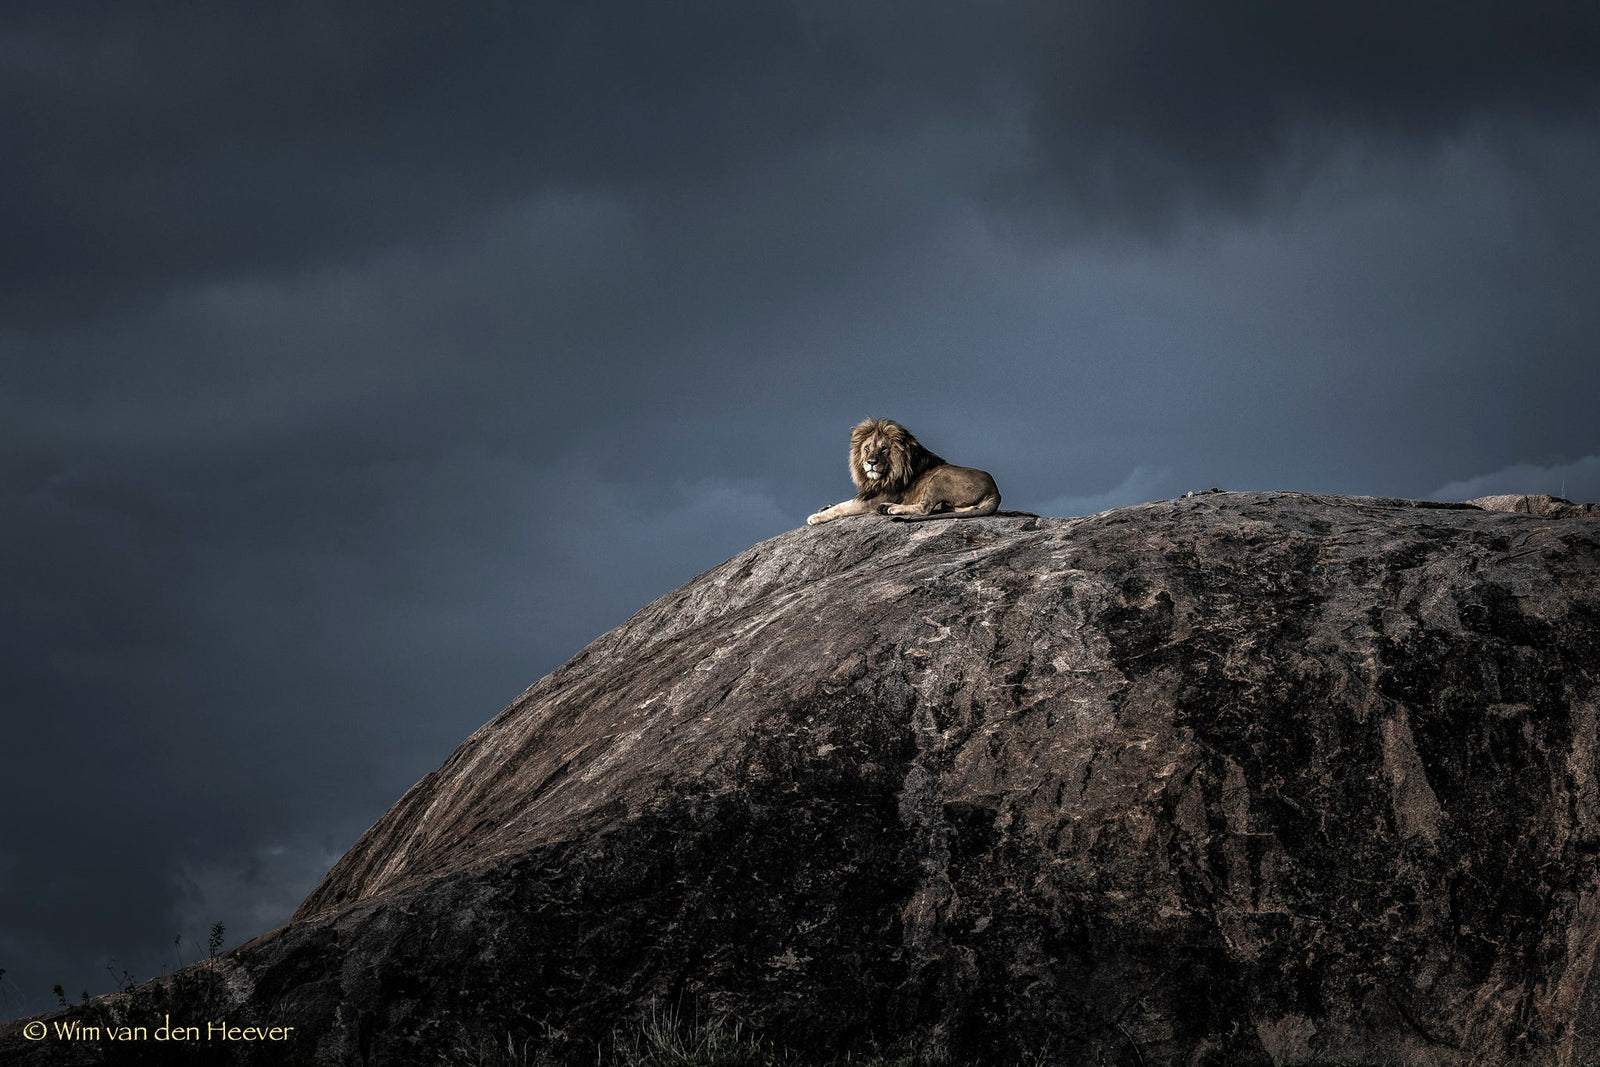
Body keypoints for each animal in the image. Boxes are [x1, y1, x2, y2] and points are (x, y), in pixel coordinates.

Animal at [806, 418, 1001, 525]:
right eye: (867, 448)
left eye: (884, 449)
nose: (871, 463)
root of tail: (995, 491)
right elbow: (842, 502)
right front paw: (825, 506)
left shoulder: (873, 500)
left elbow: (843, 507)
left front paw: (816, 516)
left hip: (939, 478)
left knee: (925, 508)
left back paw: (891, 508)